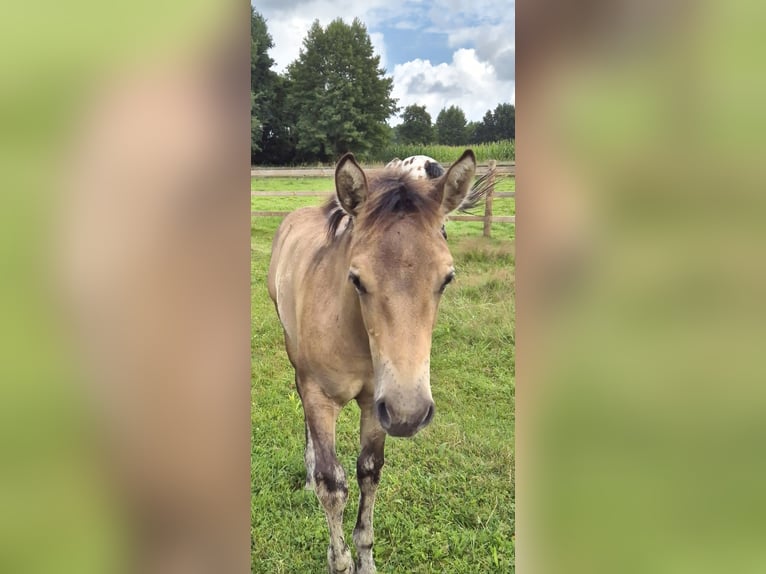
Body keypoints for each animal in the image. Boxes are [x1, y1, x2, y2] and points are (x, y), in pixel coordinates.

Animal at [267, 150, 477, 573]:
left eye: (447, 278)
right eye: (357, 279)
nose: (409, 413)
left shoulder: (375, 403)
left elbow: (369, 472)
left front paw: (365, 559)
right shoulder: (320, 397)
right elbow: (332, 484)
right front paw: (339, 561)